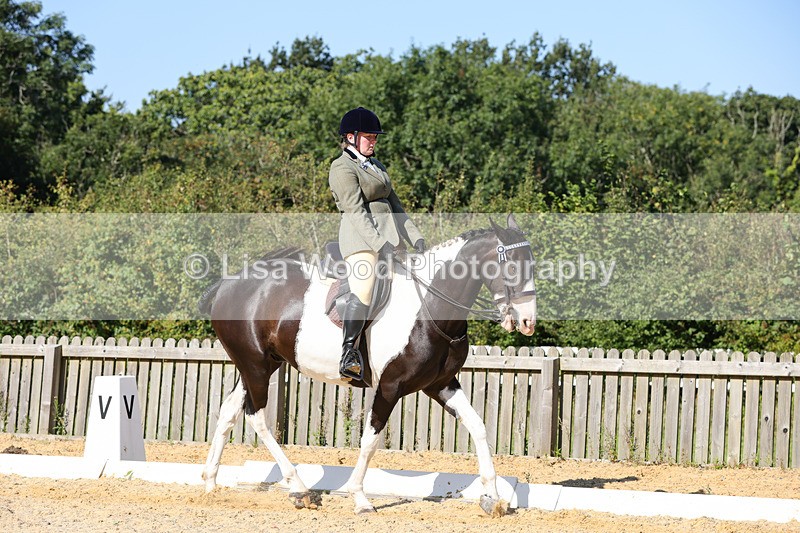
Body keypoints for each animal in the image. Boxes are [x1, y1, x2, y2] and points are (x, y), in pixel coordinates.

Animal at [198, 213, 537, 516]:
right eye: (511, 264)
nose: (527, 322)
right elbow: (370, 440)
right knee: (257, 417)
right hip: (254, 364)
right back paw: (300, 489)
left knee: (229, 411)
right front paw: (360, 499)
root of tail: (227, 284)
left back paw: (211, 483)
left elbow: (478, 426)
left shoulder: (441, 385)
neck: (429, 308)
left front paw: (492, 498)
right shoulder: (389, 387)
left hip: (261, 365)